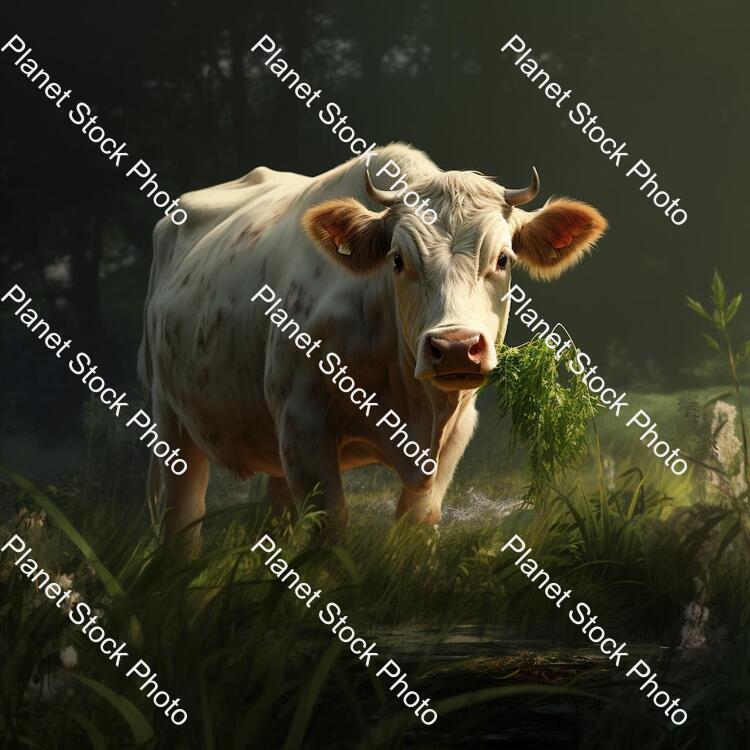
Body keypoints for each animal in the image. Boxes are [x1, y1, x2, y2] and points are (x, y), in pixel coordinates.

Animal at [138, 143, 606, 542]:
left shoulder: (455, 435)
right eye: (397, 260)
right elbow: (331, 529)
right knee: (181, 521)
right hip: (171, 423)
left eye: (503, 259)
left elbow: (415, 524)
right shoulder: (303, 425)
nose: (456, 346)